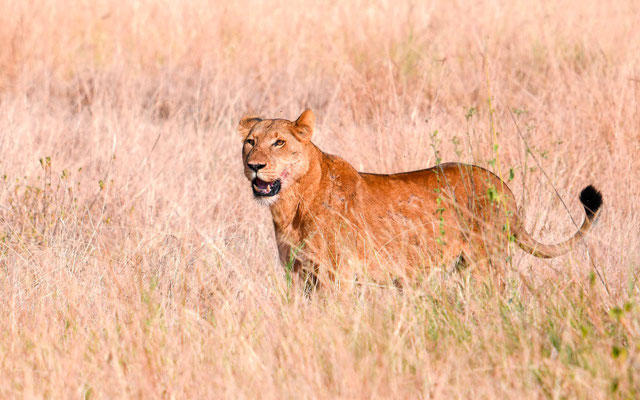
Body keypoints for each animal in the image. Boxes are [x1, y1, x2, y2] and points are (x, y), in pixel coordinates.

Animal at [240, 109, 603, 289]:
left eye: (279, 143)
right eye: (249, 142)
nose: (254, 166)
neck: (290, 207)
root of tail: (504, 189)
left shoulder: (336, 275)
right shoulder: (298, 275)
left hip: (487, 263)